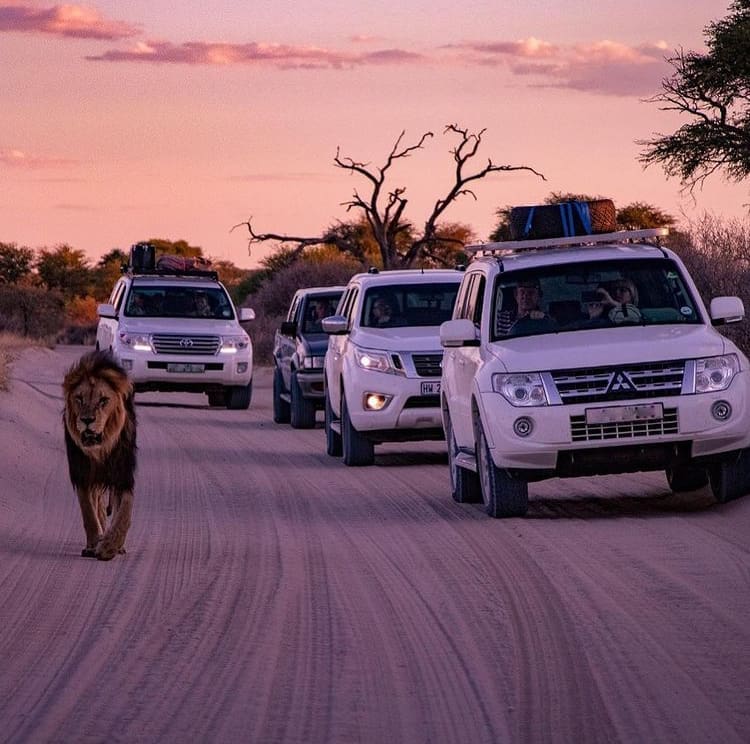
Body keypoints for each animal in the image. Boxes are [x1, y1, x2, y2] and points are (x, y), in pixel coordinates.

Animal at [62, 350, 137, 561]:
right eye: (79, 399)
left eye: (103, 400)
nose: (87, 420)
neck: (100, 450)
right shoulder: (82, 474)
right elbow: (88, 512)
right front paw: (94, 544)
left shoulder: (123, 475)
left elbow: (125, 512)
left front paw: (111, 547)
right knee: (98, 506)